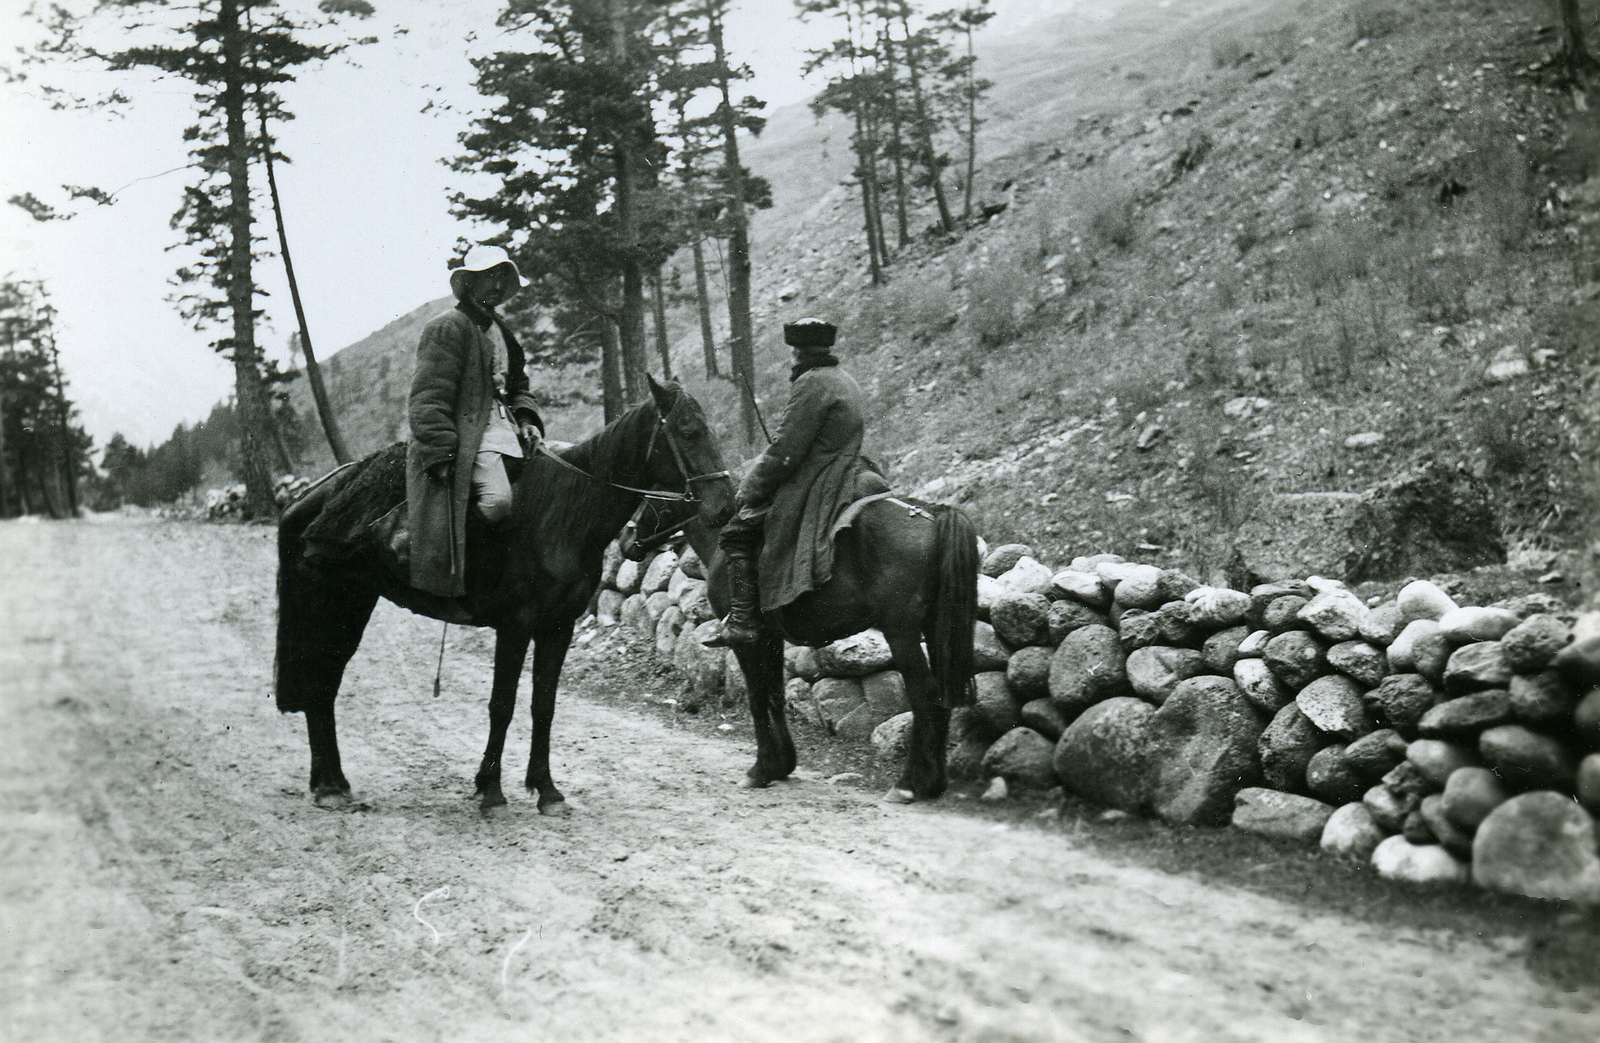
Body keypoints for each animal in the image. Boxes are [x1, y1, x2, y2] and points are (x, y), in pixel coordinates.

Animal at [275, 377, 736, 815]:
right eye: (688, 431)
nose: (726, 508)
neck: (564, 512)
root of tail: (309, 499)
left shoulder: (557, 627)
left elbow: (543, 705)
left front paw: (546, 790)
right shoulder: (514, 626)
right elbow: (502, 704)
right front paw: (492, 790)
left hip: (351, 606)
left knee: (325, 682)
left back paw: (332, 781)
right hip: (330, 607)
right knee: (319, 680)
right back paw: (329, 786)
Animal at [633, 486, 972, 803]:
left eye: (649, 496)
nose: (626, 539)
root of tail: (933, 514)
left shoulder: (746, 641)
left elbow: (756, 697)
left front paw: (761, 768)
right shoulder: (770, 638)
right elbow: (774, 695)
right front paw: (781, 764)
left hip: (901, 632)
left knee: (923, 693)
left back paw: (908, 784)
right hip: (933, 628)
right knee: (941, 692)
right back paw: (933, 783)